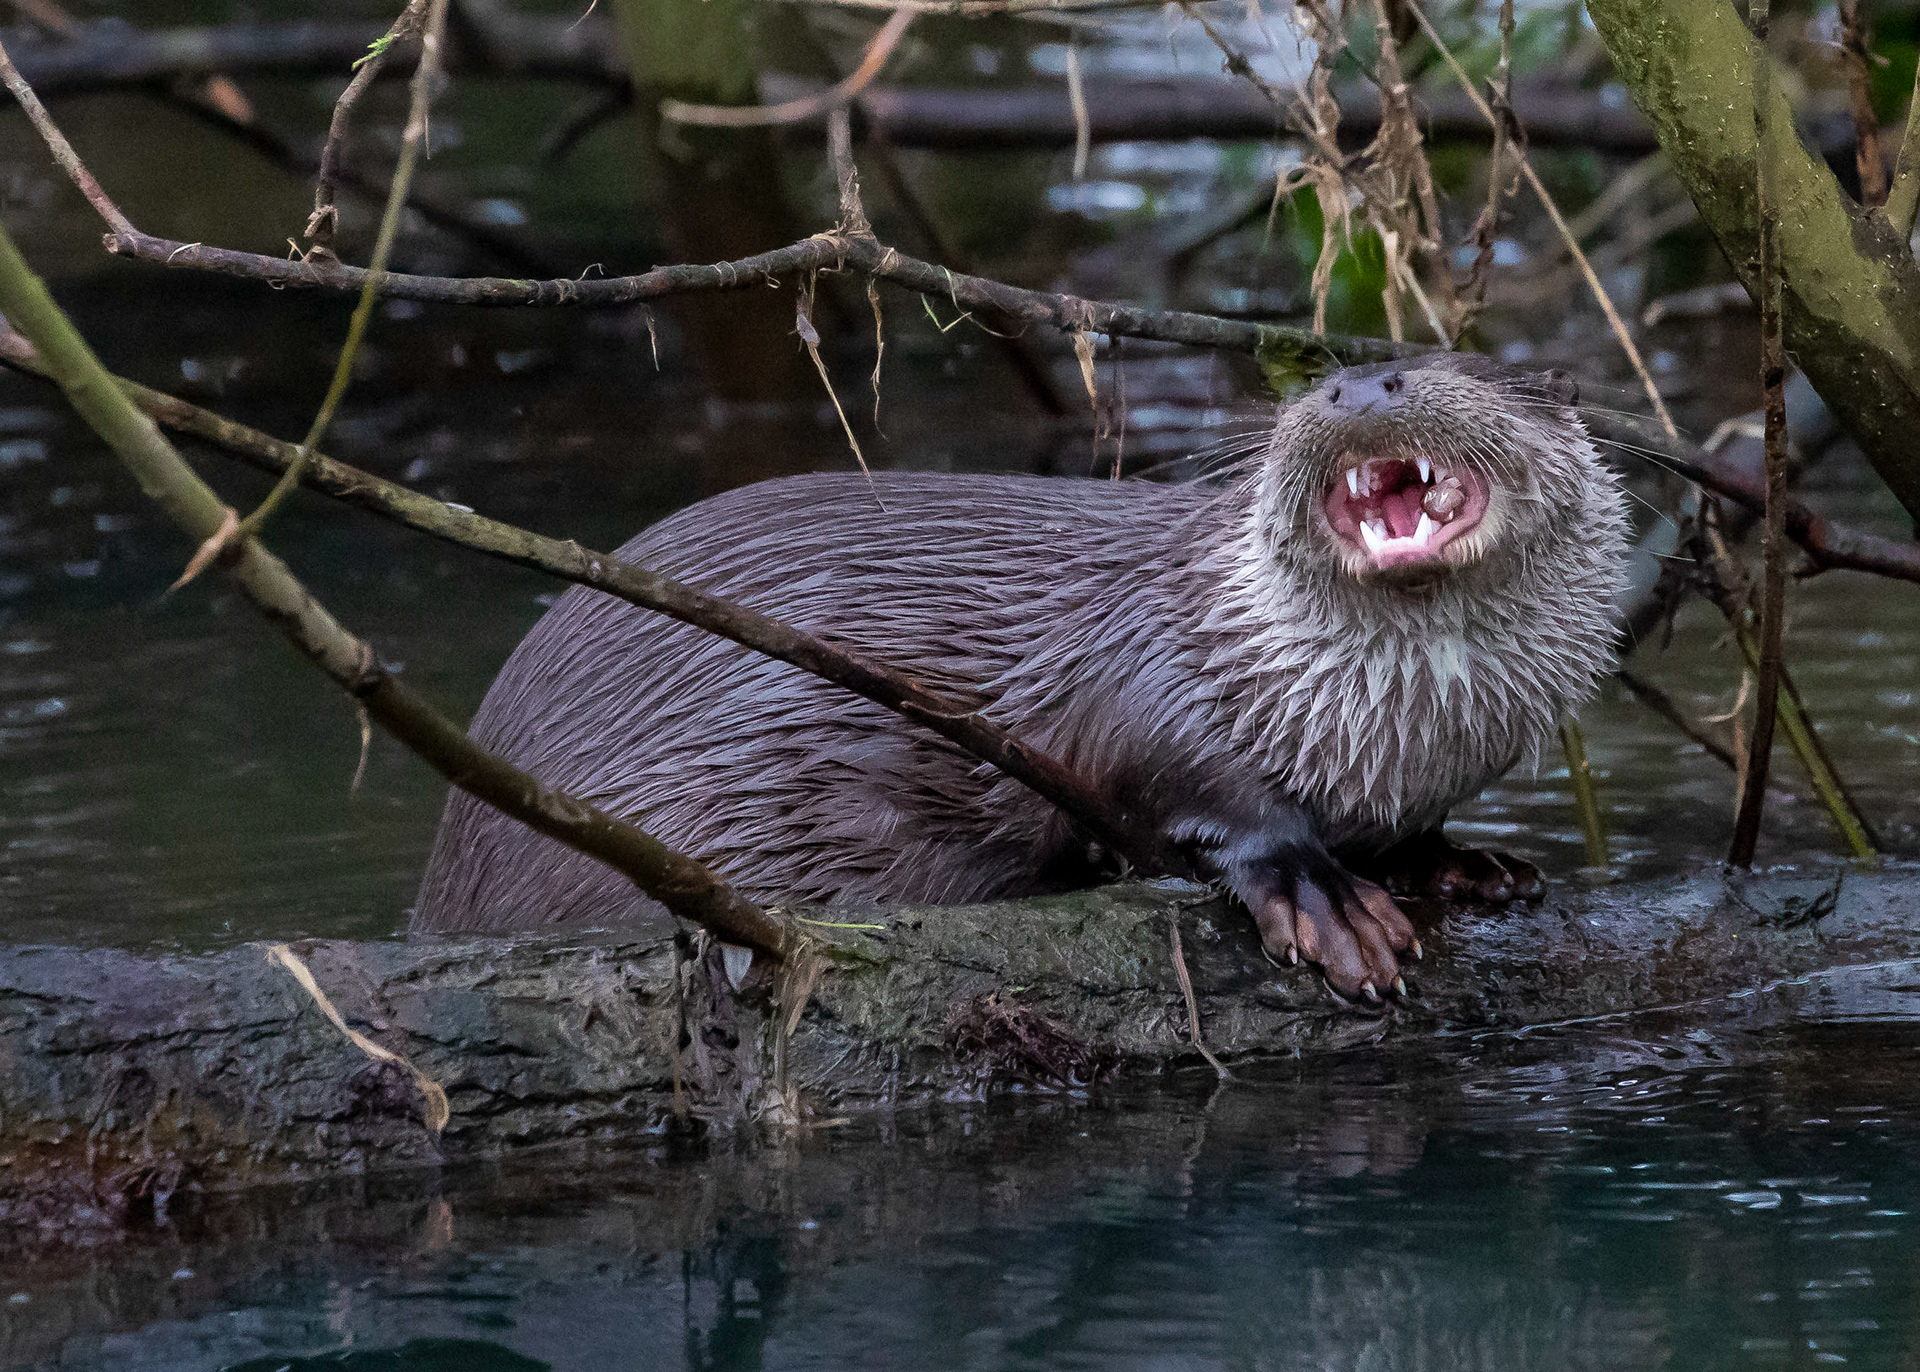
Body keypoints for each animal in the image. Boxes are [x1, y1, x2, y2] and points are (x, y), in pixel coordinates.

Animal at [414, 353, 1631, 998]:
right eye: (1316, 379)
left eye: (1473, 368)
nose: (1359, 384)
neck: (1393, 730)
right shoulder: (1151, 660)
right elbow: (1176, 775)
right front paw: (1321, 895)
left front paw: (1463, 862)